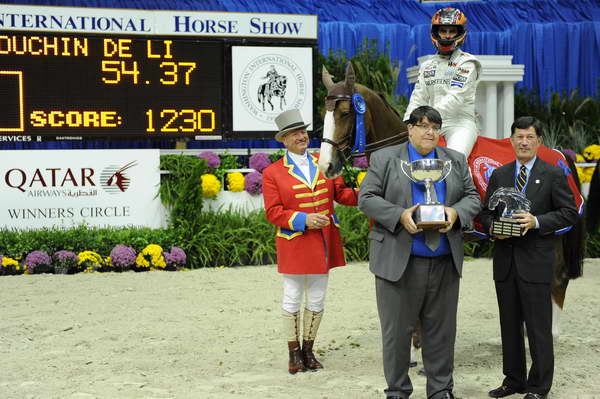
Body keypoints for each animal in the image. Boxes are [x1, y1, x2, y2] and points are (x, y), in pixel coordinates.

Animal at [322, 60, 584, 366]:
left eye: (344, 112)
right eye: (324, 114)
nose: (326, 166)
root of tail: (559, 154)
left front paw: (417, 352)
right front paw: (413, 352)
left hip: (552, 232)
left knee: (557, 278)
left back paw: (547, 336)